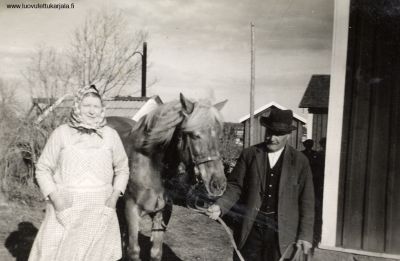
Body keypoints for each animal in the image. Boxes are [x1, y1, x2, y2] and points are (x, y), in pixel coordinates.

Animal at [107, 93, 228, 260]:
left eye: (220, 137)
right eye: (194, 135)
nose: (218, 184)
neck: (151, 167)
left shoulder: (162, 213)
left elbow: (156, 251)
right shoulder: (131, 209)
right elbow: (133, 250)